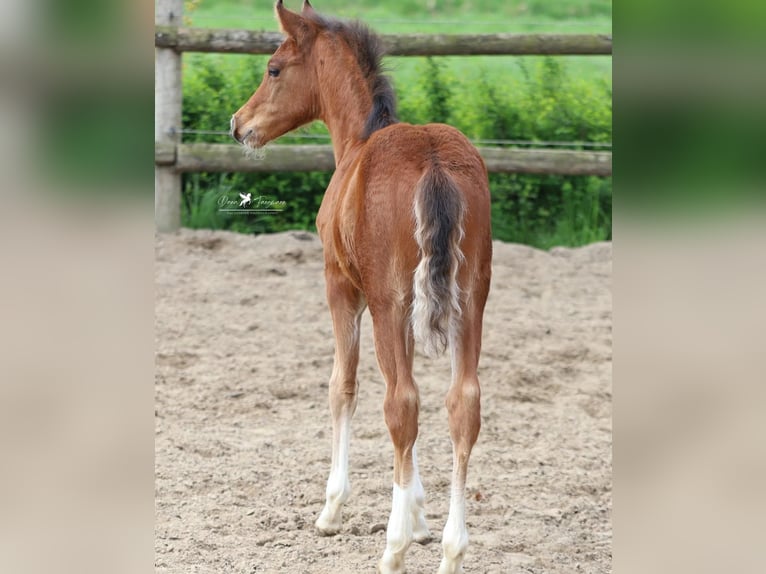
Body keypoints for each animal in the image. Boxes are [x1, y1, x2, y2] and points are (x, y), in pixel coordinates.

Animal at [231, 2, 492, 572]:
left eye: (273, 69)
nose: (238, 124)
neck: (357, 140)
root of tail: (434, 161)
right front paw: (419, 517)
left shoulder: (342, 287)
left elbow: (342, 386)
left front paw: (334, 509)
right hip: (470, 302)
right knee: (462, 405)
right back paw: (451, 549)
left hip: (389, 303)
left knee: (401, 404)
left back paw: (392, 548)